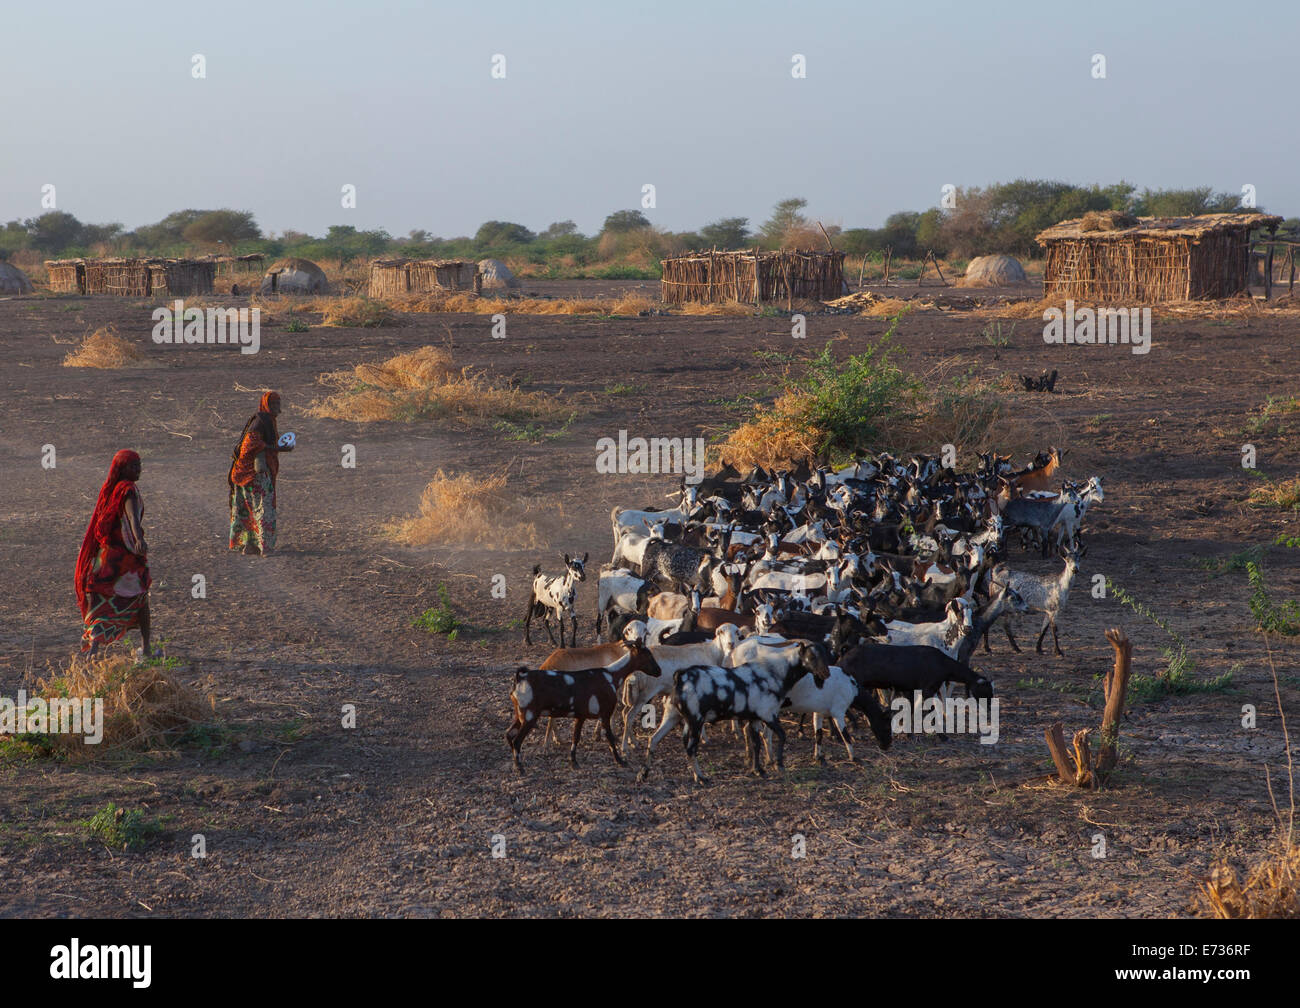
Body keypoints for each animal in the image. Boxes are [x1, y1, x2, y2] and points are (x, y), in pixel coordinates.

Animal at [509, 642, 665, 775]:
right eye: (648, 655)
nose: (659, 671)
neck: (611, 675)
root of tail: (520, 678)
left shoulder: (580, 716)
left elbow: (575, 738)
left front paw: (574, 762)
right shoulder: (605, 714)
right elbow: (610, 738)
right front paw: (620, 760)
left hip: (520, 716)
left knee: (509, 735)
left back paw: (516, 764)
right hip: (529, 717)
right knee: (516, 741)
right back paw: (520, 768)